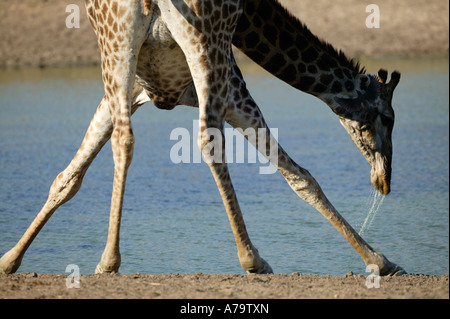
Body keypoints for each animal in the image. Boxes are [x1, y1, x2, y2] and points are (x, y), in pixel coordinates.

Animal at [0, 0, 404, 278]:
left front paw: (9, 260)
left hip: (116, 46)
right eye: (387, 117)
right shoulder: (232, 83)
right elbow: (301, 177)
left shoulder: (133, 91)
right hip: (203, 42)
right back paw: (252, 258)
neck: (250, 19)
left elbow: (67, 179)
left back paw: (108, 260)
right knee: (206, 140)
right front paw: (380, 261)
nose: (384, 180)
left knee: (124, 141)